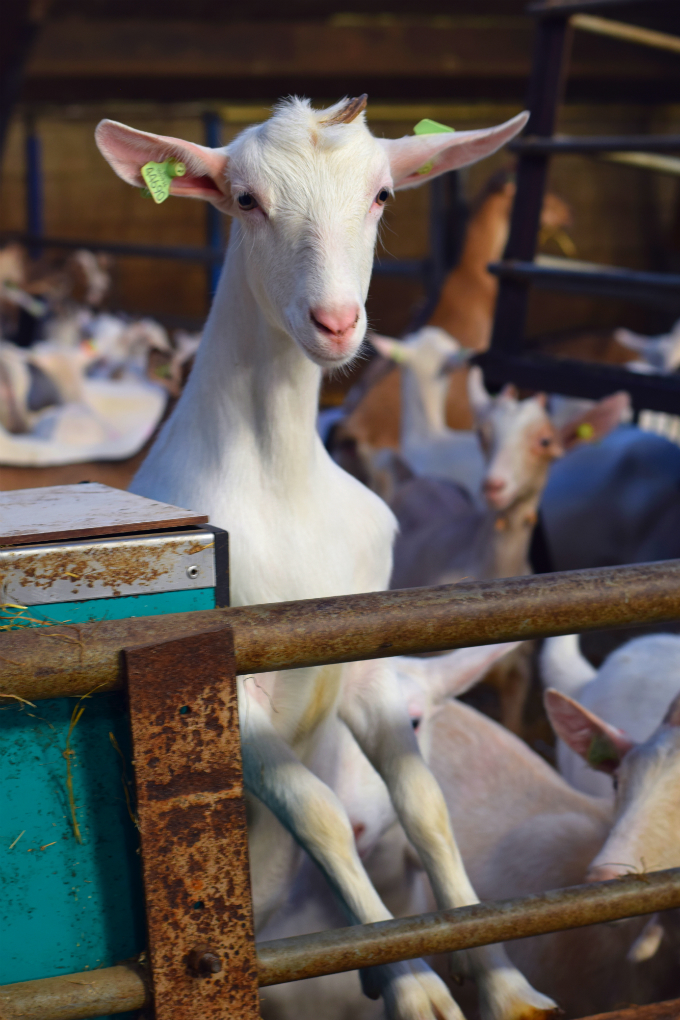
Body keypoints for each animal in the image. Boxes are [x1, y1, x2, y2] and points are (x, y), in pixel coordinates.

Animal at [95, 97, 554, 1020]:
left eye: (382, 195)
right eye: (243, 199)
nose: (336, 322)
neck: (283, 482)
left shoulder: (364, 660)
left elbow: (425, 808)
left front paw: (505, 983)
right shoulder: (219, 689)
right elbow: (320, 815)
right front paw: (414, 986)